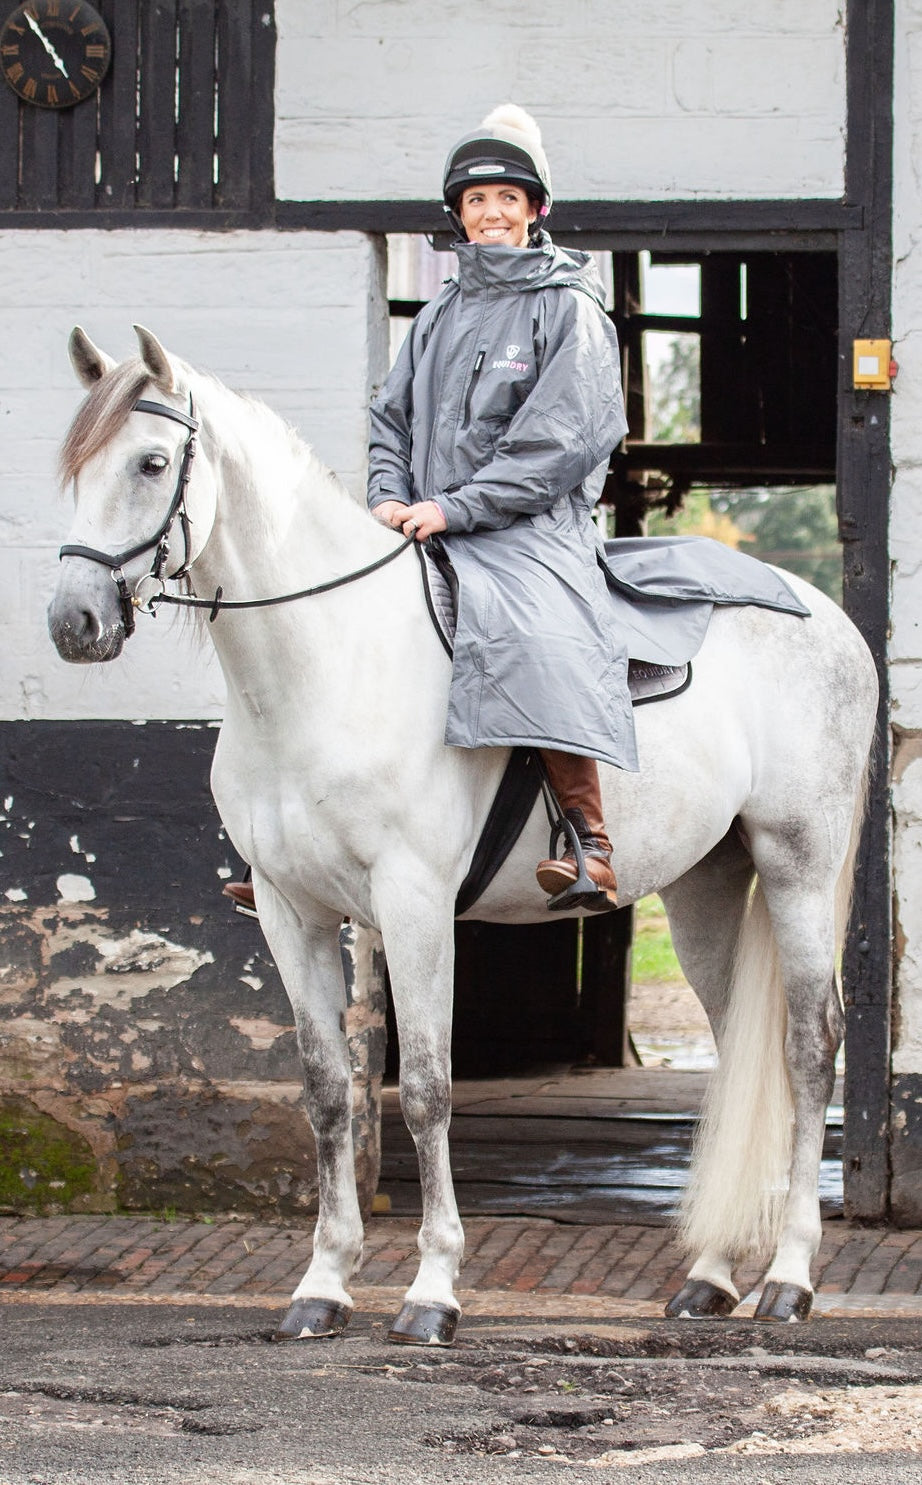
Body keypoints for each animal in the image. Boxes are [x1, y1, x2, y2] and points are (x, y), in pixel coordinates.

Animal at [48, 325, 878, 1344]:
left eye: (153, 462)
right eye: (75, 467)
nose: (75, 621)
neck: (327, 663)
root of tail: (822, 612)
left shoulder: (414, 904)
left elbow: (428, 1088)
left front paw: (433, 1288)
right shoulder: (290, 911)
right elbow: (326, 1091)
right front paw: (322, 1284)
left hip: (799, 865)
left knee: (806, 1047)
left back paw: (790, 1277)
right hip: (708, 887)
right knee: (739, 1055)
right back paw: (711, 1275)